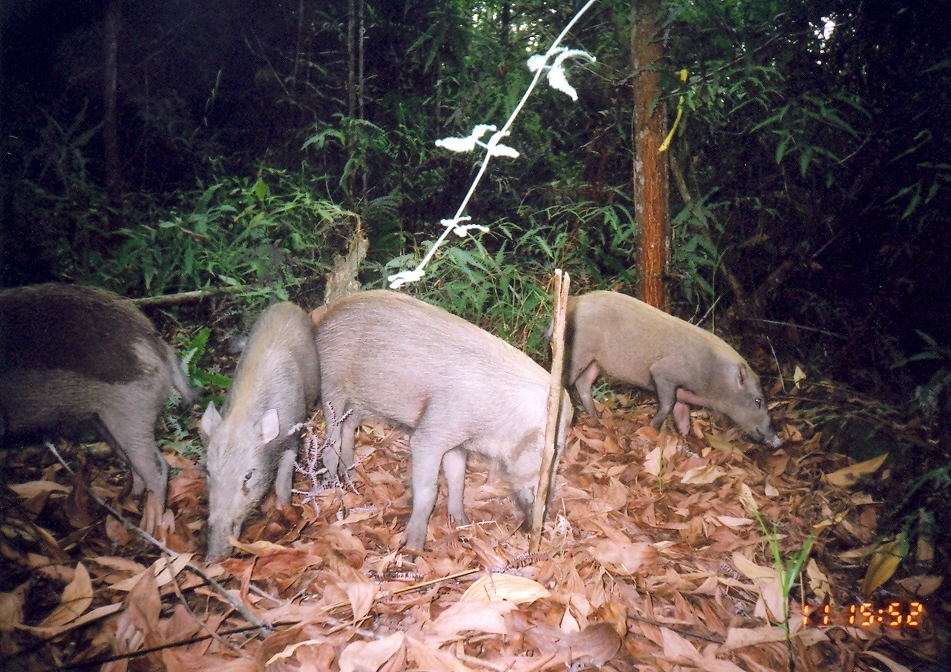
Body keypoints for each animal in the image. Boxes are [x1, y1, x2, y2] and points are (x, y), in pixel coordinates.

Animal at [0, 280, 195, 506]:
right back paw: (127, 503)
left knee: (156, 466)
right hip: (106, 422)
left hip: (133, 412)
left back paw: (150, 515)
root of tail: (161, 348)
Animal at [200, 302, 320, 560]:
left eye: (248, 475)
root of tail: (286, 304)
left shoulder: (293, 431)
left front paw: (284, 510)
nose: (212, 559)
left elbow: (283, 479)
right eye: (208, 472)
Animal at [318, 288, 572, 552]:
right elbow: (429, 490)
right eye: (550, 450)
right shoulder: (431, 435)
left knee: (349, 426)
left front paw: (463, 523)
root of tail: (329, 313)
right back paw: (332, 486)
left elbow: (457, 479)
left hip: (362, 401)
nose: (542, 521)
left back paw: (351, 474)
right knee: (331, 439)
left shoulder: (457, 442)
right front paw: (414, 550)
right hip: (331, 384)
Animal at [564, 288, 780, 446]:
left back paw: (594, 415)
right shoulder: (663, 373)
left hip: (595, 362)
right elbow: (668, 404)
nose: (778, 441)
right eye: (758, 400)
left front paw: (684, 437)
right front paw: (652, 429)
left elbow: (683, 414)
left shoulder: (683, 393)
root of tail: (573, 301)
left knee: (584, 383)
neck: (712, 375)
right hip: (579, 352)